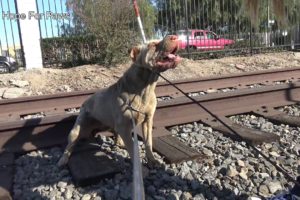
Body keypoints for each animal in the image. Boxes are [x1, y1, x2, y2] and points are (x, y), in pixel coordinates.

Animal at [57, 35, 182, 166]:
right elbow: (133, 151)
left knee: (115, 132)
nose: (174, 36)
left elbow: (148, 143)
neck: (145, 88)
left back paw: (119, 142)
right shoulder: (125, 128)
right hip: (77, 128)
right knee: (70, 145)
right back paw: (62, 160)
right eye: (152, 45)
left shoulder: (147, 121)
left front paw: (152, 160)